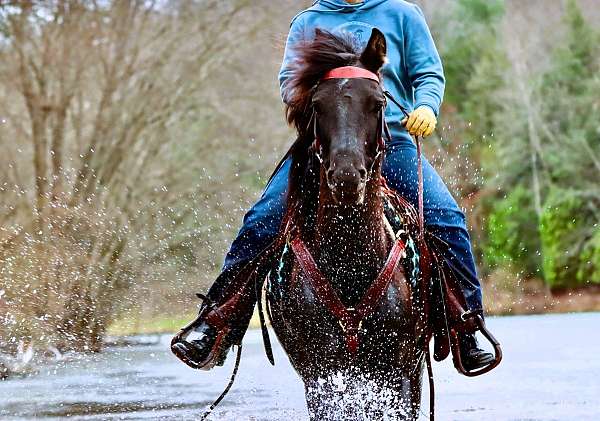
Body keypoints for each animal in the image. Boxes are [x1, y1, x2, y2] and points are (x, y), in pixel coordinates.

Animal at [266, 27, 426, 418]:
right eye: (316, 105)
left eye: (378, 103)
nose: (347, 176)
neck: (350, 262)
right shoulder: (322, 373)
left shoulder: (397, 369)